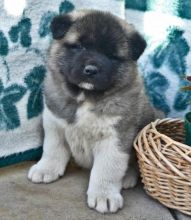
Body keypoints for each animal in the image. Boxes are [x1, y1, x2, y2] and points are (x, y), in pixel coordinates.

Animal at [27, 9, 163, 213]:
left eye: (111, 55)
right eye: (79, 47)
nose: (91, 70)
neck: (84, 97)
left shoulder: (115, 138)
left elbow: (107, 169)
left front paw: (104, 195)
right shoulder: (54, 124)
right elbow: (52, 149)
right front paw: (45, 169)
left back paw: (127, 178)